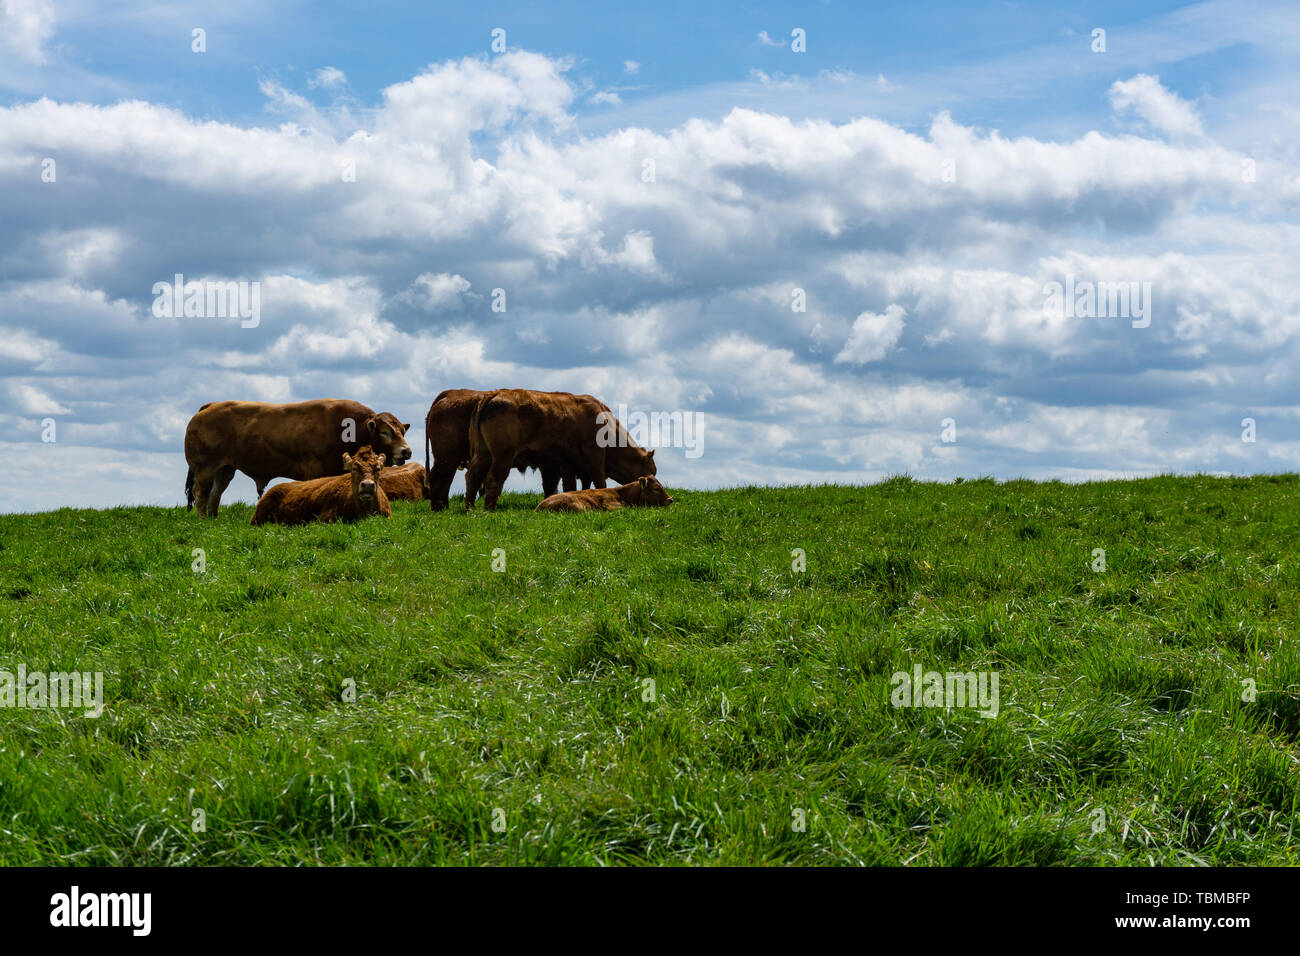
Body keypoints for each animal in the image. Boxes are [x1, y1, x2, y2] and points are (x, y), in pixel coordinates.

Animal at [423, 387, 587, 512]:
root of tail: (450, 394)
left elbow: (551, 484)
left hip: (454, 460)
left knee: (450, 480)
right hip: (449, 458)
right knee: (439, 478)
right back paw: (439, 508)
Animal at [462, 390, 655, 512]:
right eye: (652, 471)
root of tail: (494, 394)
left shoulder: (565, 465)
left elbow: (566, 487)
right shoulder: (595, 458)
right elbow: (600, 482)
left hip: (483, 454)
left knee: (473, 476)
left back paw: (469, 508)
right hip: (503, 455)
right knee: (494, 479)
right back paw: (489, 509)